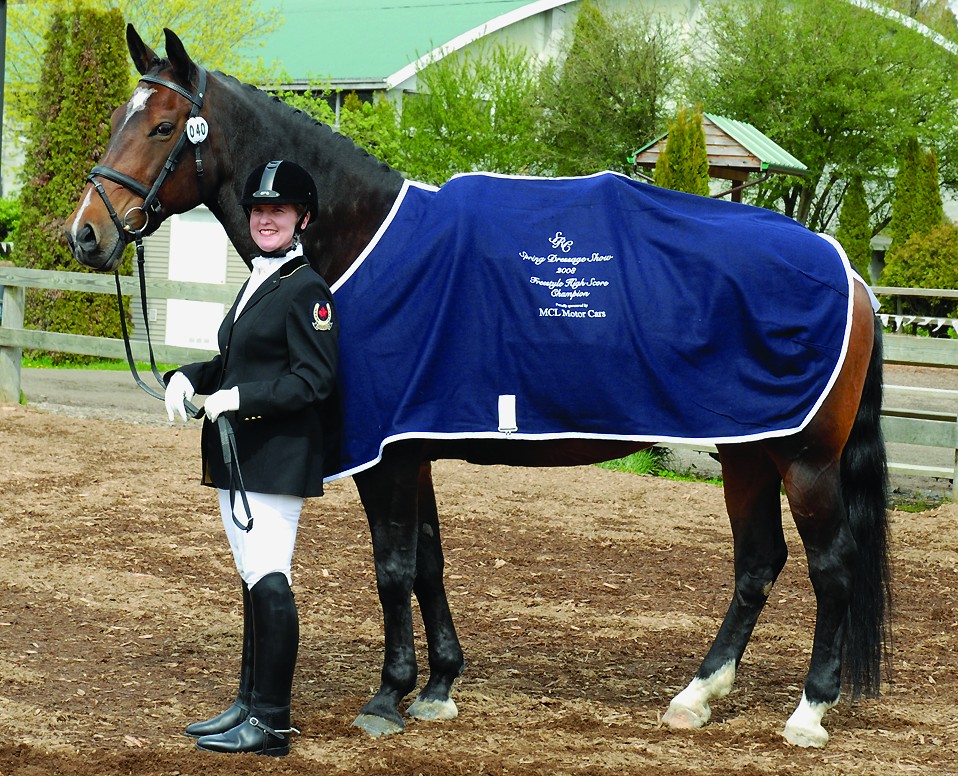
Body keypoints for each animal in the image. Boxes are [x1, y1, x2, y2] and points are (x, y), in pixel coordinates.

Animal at [64, 26, 891, 748]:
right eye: (116, 120)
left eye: (164, 127)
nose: (85, 234)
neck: (359, 240)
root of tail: (851, 275)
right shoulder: (411, 445)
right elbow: (429, 561)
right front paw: (437, 687)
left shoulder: (387, 456)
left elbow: (393, 567)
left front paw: (387, 696)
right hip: (747, 452)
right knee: (758, 564)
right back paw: (698, 694)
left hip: (805, 460)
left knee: (831, 570)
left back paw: (809, 711)